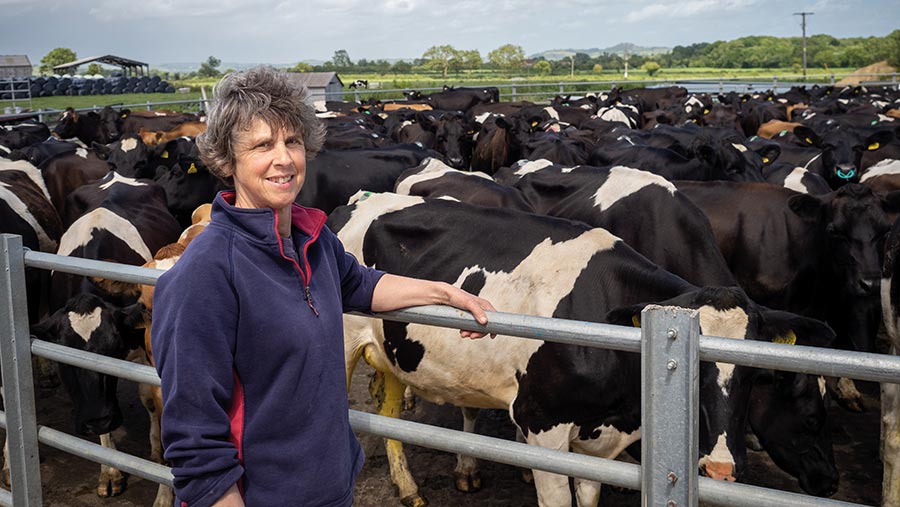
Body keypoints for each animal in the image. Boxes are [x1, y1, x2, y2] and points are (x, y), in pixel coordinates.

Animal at [326, 191, 832, 507]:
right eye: (697, 371)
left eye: (753, 372)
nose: (725, 468)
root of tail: (350, 207)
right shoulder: (541, 425)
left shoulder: (598, 439)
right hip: (347, 348)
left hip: (395, 353)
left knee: (390, 415)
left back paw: (408, 486)